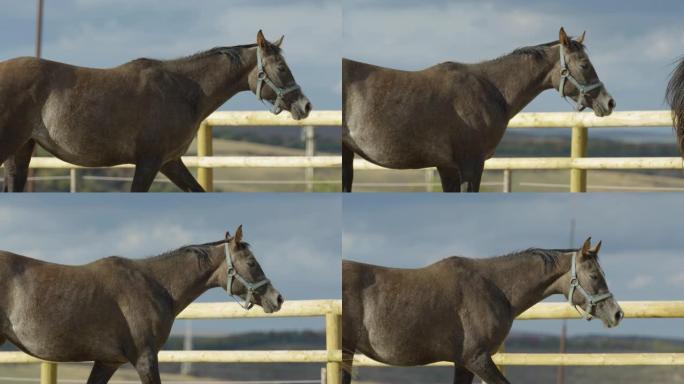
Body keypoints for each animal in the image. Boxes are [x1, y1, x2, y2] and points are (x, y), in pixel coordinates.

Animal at [0, 29, 312, 191]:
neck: (182, 90)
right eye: (281, 68)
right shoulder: (149, 162)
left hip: (21, 151)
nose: (305, 105)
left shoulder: (170, 162)